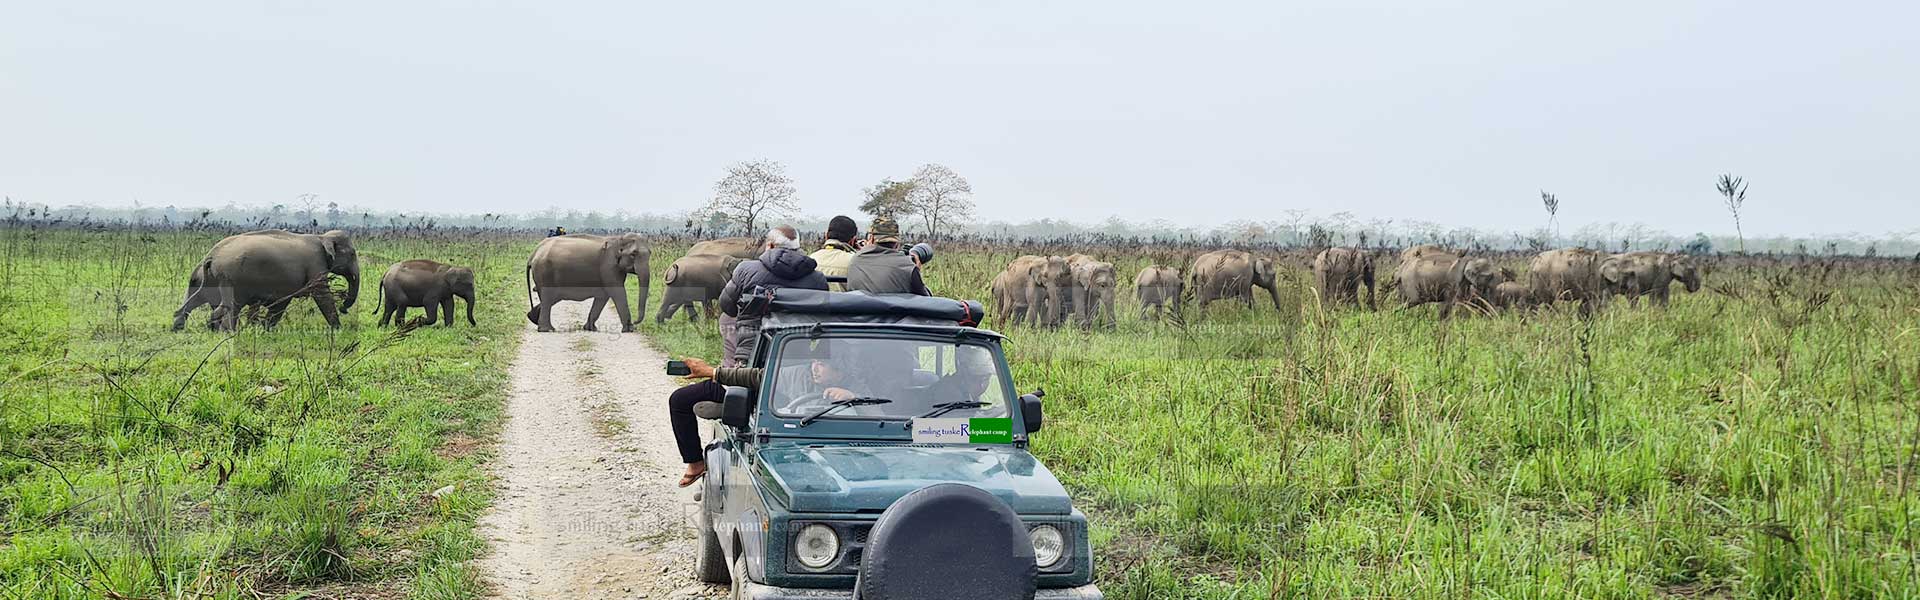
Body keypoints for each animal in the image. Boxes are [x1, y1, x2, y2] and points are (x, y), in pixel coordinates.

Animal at [172, 228, 360, 330]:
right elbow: (322, 295)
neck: (322, 237)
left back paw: (182, 328)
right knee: (229, 306)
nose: (344, 308)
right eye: (352, 254)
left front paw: (266, 328)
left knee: (194, 299)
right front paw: (338, 329)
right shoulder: (316, 264)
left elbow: (282, 302)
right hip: (231, 279)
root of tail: (212, 256)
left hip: (203, 278)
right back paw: (227, 331)